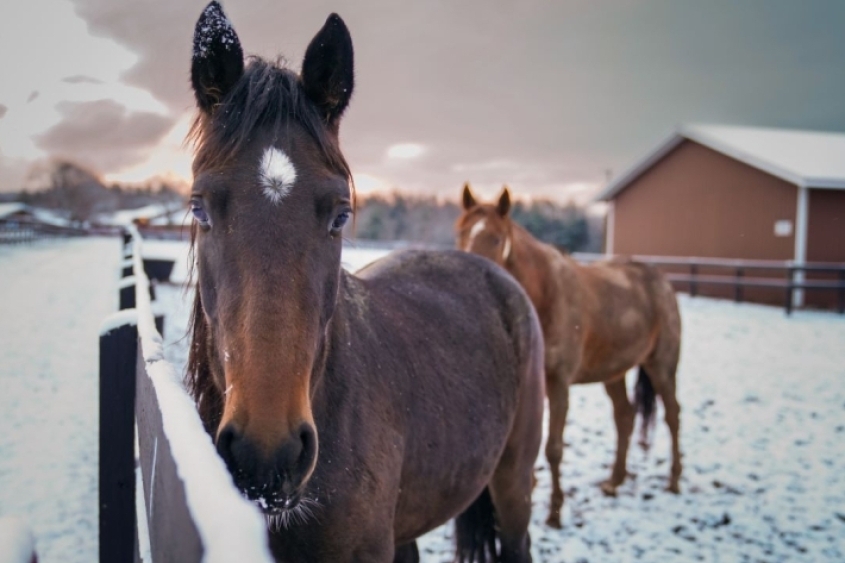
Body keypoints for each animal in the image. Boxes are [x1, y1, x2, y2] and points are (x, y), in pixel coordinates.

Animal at [456, 184, 682, 529]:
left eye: (495, 238)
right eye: (461, 232)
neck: (545, 296)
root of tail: (662, 281)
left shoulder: (559, 383)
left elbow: (554, 448)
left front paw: (554, 511)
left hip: (662, 366)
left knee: (672, 415)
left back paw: (674, 481)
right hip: (614, 372)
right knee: (625, 417)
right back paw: (614, 481)